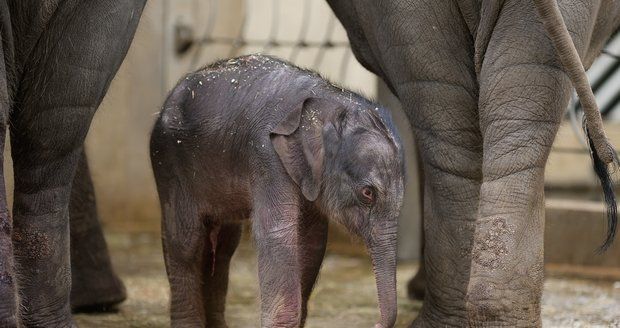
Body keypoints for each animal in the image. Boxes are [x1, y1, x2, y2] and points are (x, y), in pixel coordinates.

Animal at [151, 54, 406, 328]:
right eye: (367, 193)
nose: (375, 323)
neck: (325, 100)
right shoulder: (266, 157)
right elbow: (277, 233)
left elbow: (312, 239)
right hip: (168, 165)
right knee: (186, 242)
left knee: (224, 246)